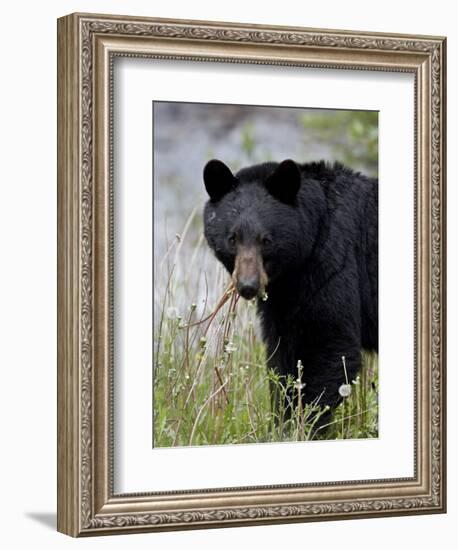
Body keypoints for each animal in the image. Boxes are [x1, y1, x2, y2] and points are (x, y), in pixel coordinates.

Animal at [202, 157, 378, 424]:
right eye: (232, 238)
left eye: (266, 240)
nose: (248, 286)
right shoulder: (284, 297)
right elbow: (283, 355)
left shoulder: (333, 265)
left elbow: (331, 346)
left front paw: (304, 423)